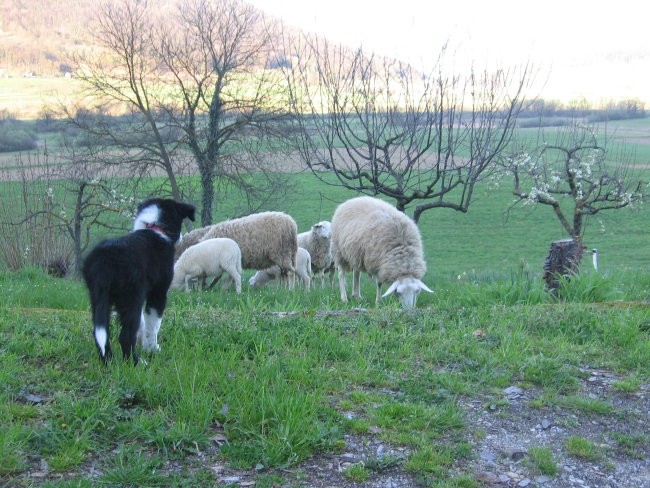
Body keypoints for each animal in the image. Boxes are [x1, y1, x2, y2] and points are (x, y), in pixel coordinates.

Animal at [81, 197, 194, 362]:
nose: (182, 237)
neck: (155, 227)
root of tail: (105, 261)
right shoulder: (158, 292)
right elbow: (153, 324)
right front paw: (152, 349)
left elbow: (142, 322)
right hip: (131, 296)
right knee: (125, 336)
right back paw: (136, 362)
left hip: (98, 297)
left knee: (100, 333)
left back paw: (108, 361)